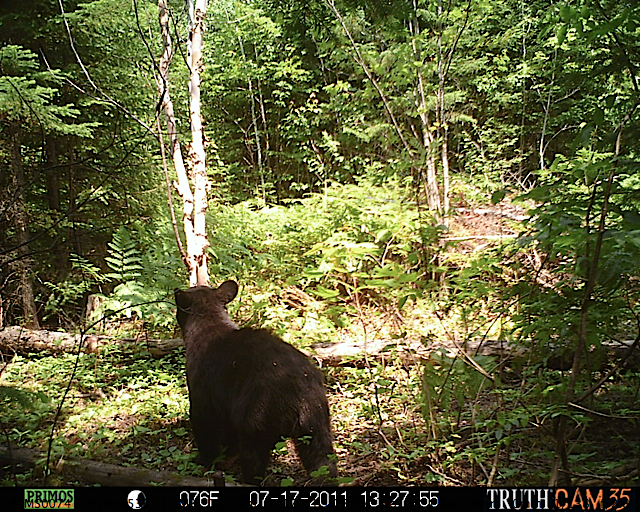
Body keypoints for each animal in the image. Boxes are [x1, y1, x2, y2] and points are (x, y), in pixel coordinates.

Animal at [174, 280, 336, 484]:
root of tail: (301, 391)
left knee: (254, 454)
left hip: (258, 413)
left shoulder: (203, 391)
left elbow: (205, 425)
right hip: (317, 420)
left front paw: (204, 459)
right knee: (322, 457)